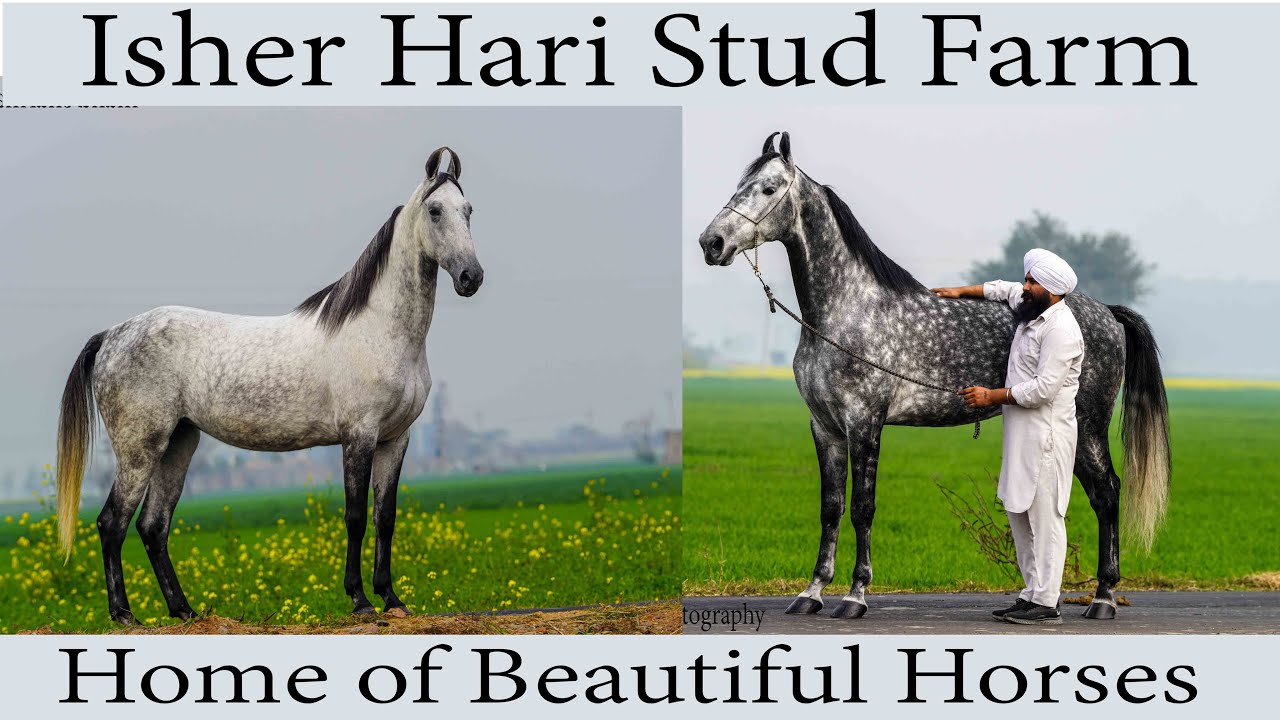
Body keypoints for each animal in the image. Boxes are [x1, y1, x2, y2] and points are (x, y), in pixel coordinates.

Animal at [54, 147, 483, 624]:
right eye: (434, 210)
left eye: (468, 210)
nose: (471, 277)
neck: (381, 328)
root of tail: (112, 334)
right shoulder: (359, 436)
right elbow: (355, 516)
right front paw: (360, 600)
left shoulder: (396, 438)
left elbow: (384, 517)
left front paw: (392, 599)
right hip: (139, 448)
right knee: (112, 522)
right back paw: (124, 615)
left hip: (179, 442)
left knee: (153, 526)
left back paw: (184, 611)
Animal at [697, 132, 1170, 621]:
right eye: (740, 185)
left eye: (769, 188)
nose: (711, 243)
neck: (843, 314)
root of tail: (1106, 313)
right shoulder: (824, 427)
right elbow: (831, 508)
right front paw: (811, 593)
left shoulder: (864, 423)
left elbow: (862, 508)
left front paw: (855, 595)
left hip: (1087, 428)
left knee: (1107, 495)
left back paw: (1103, 598)